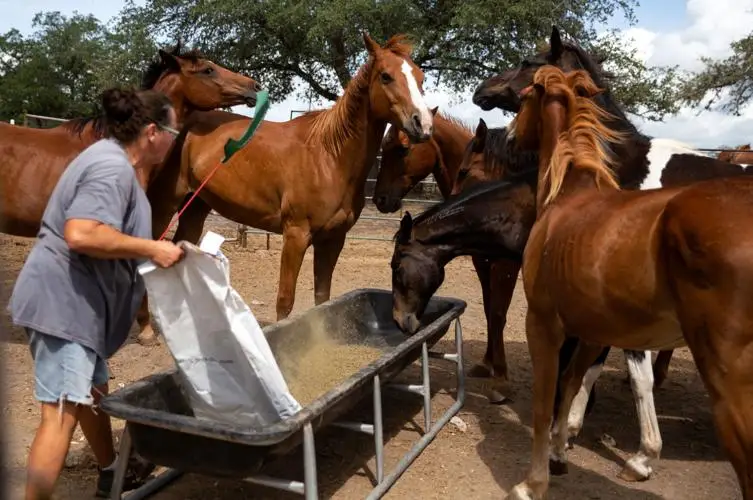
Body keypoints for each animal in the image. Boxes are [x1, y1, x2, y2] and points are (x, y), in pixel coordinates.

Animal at [134, 33, 434, 346]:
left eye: (421, 78)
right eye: (386, 76)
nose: (422, 124)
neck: (329, 156)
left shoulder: (333, 240)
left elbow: (323, 298)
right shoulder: (296, 236)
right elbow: (285, 301)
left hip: (196, 207)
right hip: (165, 203)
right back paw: (146, 330)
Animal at [502, 63, 752, 500]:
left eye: (523, 96)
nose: (510, 136)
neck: (569, 195)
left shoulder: (543, 323)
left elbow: (545, 400)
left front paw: (532, 483)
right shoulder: (592, 332)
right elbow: (572, 386)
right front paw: (559, 454)